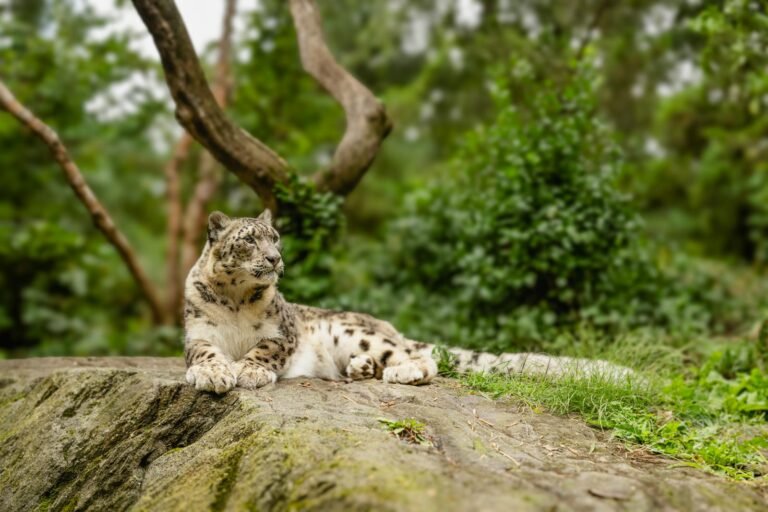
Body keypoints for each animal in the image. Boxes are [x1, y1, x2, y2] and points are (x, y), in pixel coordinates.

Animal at [184, 210, 627, 393]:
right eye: (249, 240)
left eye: (275, 238)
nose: (276, 259)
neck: (237, 300)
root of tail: (387, 326)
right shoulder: (198, 332)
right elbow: (205, 354)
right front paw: (214, 375)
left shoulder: (281, 332)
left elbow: (263, 350)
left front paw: (248, 371)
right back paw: (361, 369)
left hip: (352, 332)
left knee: (420, 358)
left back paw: (400, 372)